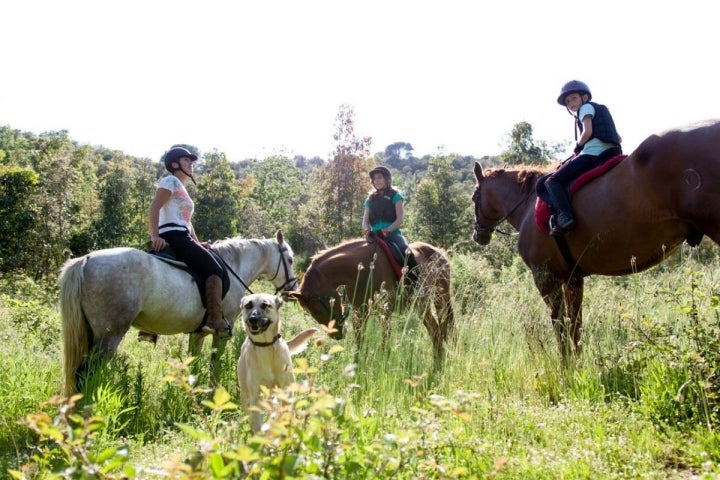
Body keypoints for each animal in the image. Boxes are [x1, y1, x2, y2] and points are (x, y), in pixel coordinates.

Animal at [59, 231, 298, 396]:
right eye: (290, 260)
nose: (292, 289)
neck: (234, 266)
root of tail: (85, 260)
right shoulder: (222, 332)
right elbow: (214, 365)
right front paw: (213, 393)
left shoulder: (198, 333)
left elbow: (193, 363)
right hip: (109, 336)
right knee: (85, 373)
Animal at [236, 292, 318, 432]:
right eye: (248, 305)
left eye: (265, 305)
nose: (252, 319)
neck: (266, 346)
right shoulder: (256, 395)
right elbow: (257, 422)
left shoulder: (286, 390)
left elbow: (286, 413)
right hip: (246, 392)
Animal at [284, 236, 452, 364]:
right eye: (312, 313)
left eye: (319, 309)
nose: (337, 335)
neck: (365, 269)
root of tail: (440, 253)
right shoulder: (360, 313)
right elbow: (359, 342)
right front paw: (357, 365)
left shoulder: (385, 311)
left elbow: (385, 343)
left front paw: (385, 364)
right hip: (421, 307)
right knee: (435, 331)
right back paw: (438, 363)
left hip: (439, 301)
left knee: (440, 330)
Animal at [470, 120, 720, 360]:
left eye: (474, 197)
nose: (478, 235)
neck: (528, 203)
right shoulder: (572, 278)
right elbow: (575, 327)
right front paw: (576, 365)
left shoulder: (545, 277)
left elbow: (561, 327)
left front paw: (566, 367)